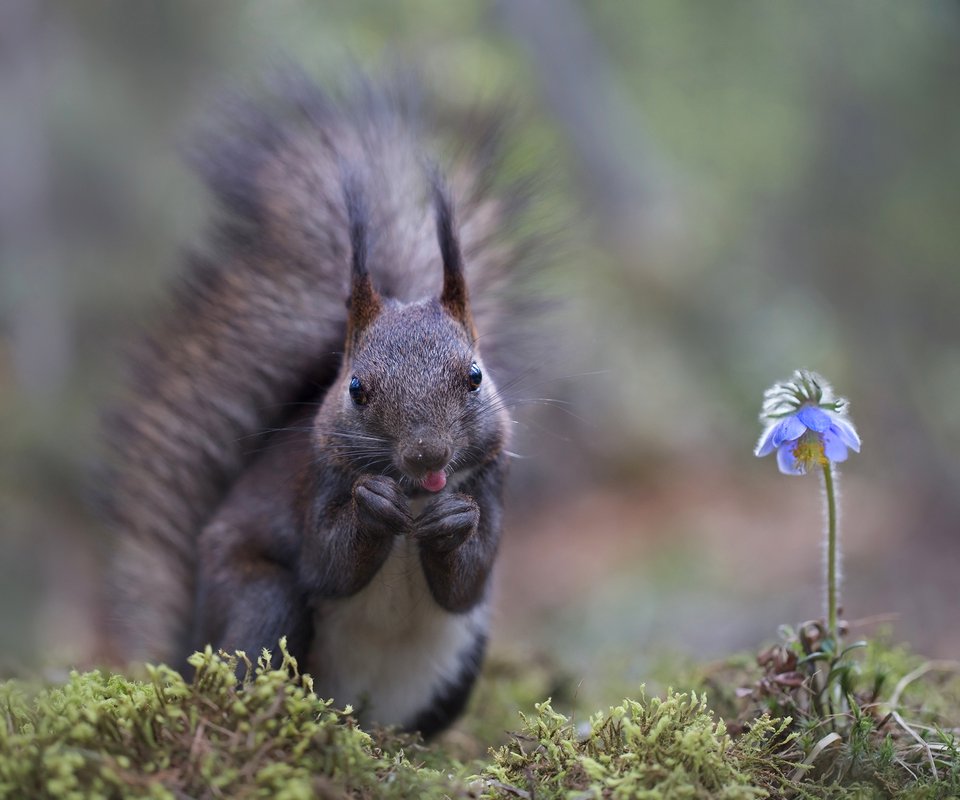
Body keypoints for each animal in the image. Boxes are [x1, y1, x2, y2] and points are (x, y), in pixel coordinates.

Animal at [102, 75, 544, 736]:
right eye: (357, 388)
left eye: (474, 376)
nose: (428, 455)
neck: (415, 496)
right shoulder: (313, 481)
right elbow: (326, 562)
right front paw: (372, 507)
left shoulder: (493, 480)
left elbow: (468, 579)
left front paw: (453, 523)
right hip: (262, 600)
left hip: (461, 662)